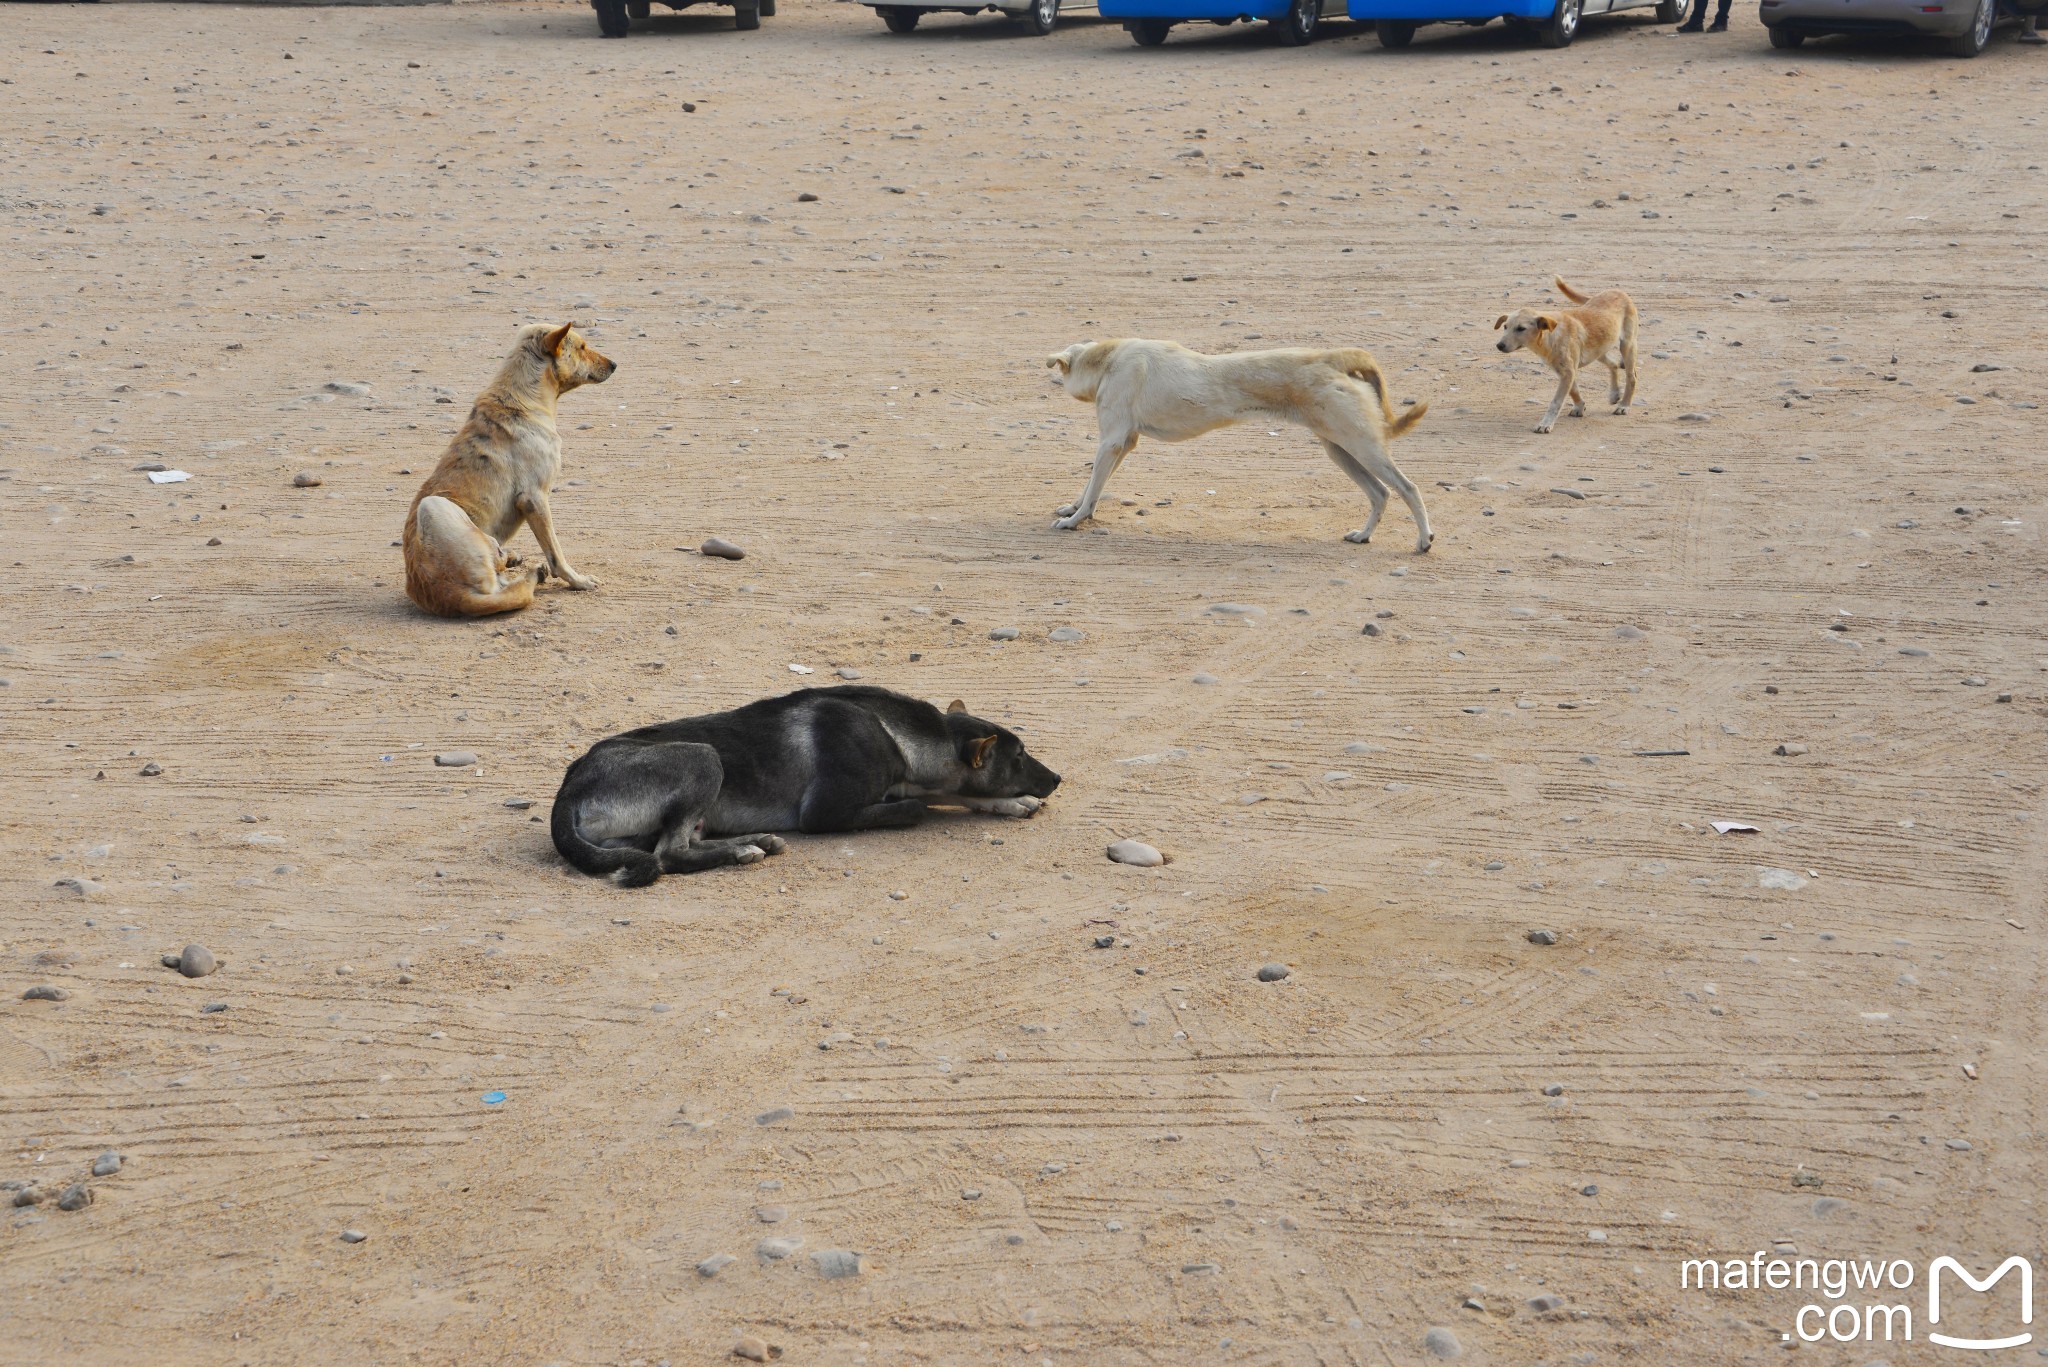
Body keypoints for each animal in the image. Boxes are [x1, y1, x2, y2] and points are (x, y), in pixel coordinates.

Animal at [399, 323, 614, 618]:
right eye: (582, 347)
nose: (614, 364)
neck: (523, 398)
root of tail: (452, 597)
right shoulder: (534, 498)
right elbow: (556, 554)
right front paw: (578, 581)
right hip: (433, 505)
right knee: (500, 565)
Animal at [552, 684, 1064, 889]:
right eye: (1020, 757)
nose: (1059, 778)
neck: (895, 732)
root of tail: (569, 786)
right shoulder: (825, 814)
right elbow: (921, 808)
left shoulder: (912, 781)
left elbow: (951, 793)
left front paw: (1012, 803)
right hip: (702, 756)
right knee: (670, 853)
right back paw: (742, 850)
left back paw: (753, 841)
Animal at [1048, 340, 1433, 553]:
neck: (1108, 357)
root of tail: (1330, 356)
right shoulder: (1124, 443)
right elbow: (1091, 487)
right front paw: (1075, 508)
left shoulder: (1112, 442)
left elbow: (1094, 489)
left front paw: (1075, 521)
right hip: (1340, 449)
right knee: (1380, 493)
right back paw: (1364, 535)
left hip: (1360, 445)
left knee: (1408, 488)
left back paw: (1424, 541)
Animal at [1490, 282, 1630, 438]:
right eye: (1505, 326)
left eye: (1521, 328)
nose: (1499, 345)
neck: (1549, 336)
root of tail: (1616, 290)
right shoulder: (1565, 371)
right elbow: (1574, 390)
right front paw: (1579, 407)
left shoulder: (1568, 372)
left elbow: (1556, 402)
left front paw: (1545, 424)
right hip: (1599, 350)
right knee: (1614, 364)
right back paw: (1614, 394)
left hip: (1627, 345)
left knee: (1632, 377)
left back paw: (1624, 405)